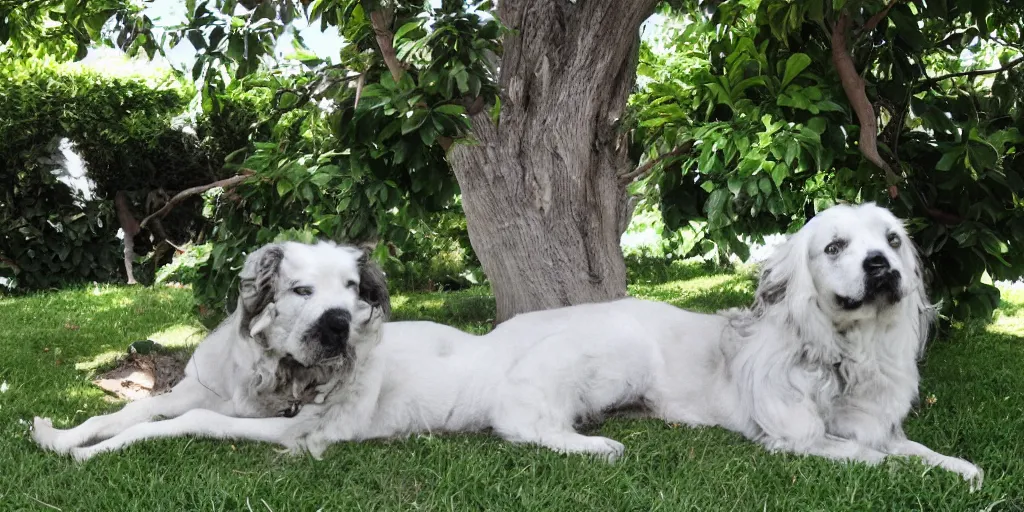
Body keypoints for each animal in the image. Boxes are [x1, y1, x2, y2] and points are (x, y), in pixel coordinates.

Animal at [41, 202, 983, 487]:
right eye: (836, 245)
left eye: (891, 241)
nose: (881, 266)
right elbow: (154, 417)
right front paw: (68, 438)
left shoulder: (295, 429)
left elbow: (906, 453)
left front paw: (963, 473)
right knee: (526, 429)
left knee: (530, 428)